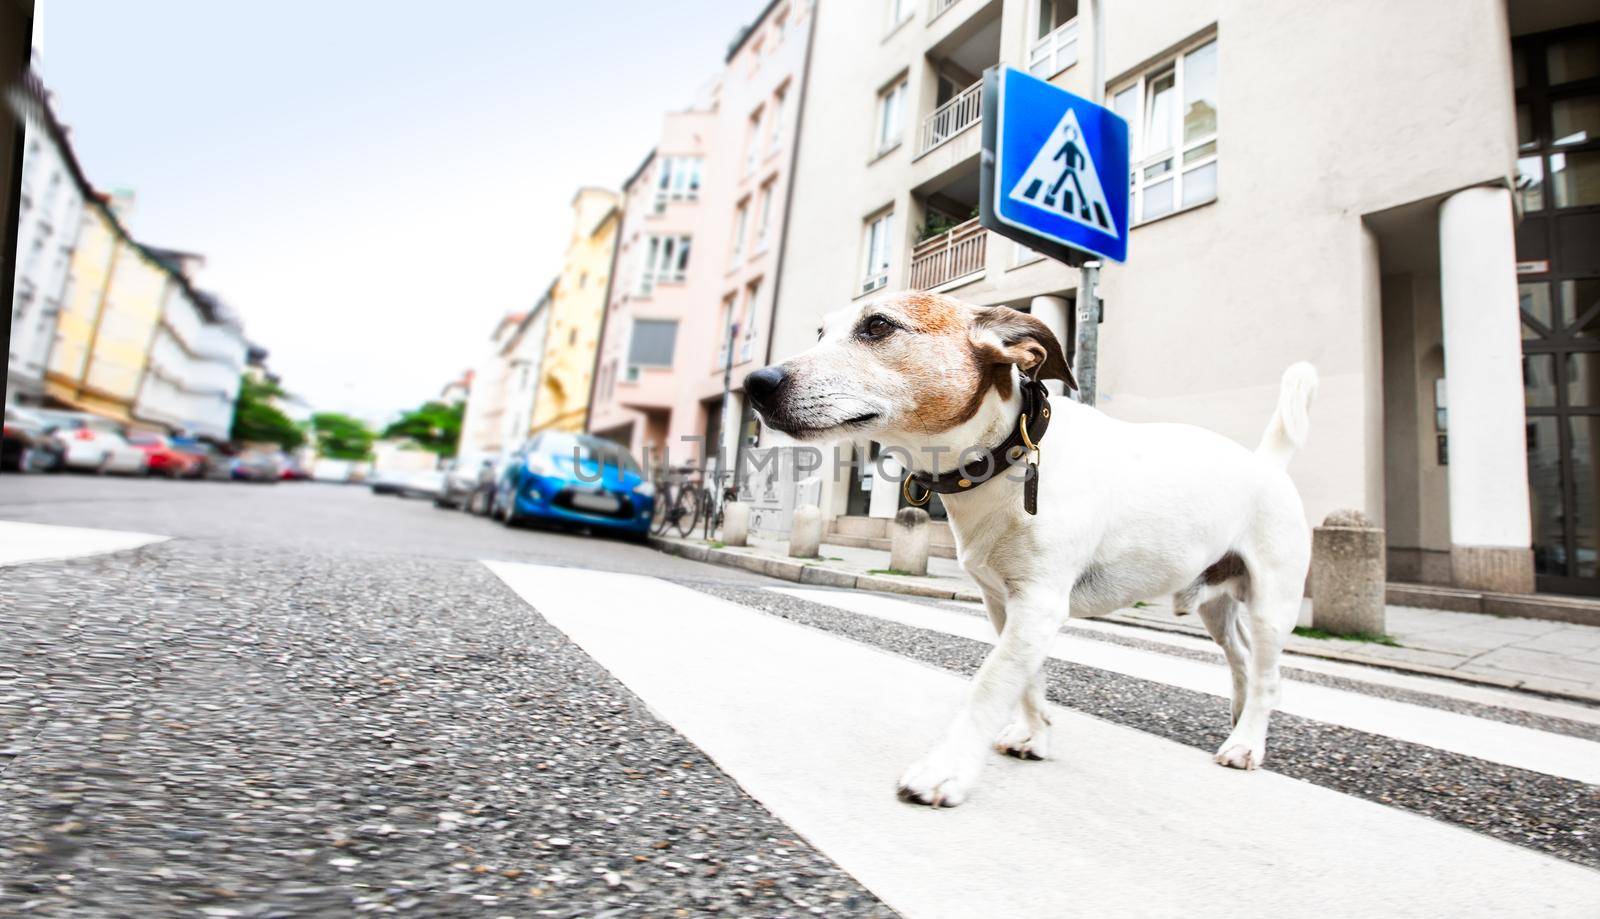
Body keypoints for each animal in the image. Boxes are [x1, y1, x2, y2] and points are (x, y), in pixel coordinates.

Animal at [742, 292, 1318, 806]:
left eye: (878, 325)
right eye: (821, 333)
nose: (755, 383)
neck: (1006, 455)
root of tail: (1268, 462)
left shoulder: (1039, 604)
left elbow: (991, 682)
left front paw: (945, 770)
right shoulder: (1004, 603)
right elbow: (1026, 681)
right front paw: (1034, 735)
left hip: (1273, 604)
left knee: (1269, 677)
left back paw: (1247, 744)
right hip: (1216, 604)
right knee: (1241, 660)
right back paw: (1239, 720)